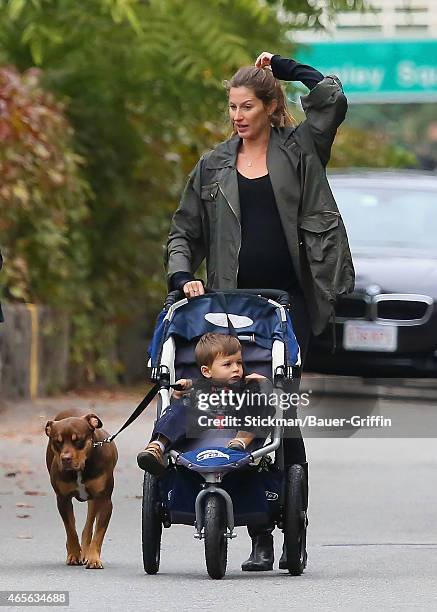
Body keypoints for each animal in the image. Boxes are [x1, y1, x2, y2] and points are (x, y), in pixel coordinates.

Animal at [44, 408, 117, 572]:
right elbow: (70, 529)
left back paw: (86, 552)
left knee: (89, 525)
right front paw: (73, 554)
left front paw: (93, 559)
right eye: (57, 442)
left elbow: (99, 533)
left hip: (95, 500)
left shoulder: (105, 501)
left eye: (77, 440)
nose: (65, 458)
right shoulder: (62, 499)